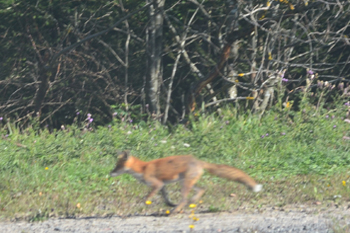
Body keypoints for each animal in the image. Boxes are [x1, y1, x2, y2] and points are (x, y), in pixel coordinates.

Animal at [110, 150, 262, 214]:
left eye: (118, 166)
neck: (142, 168)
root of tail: (199, 161)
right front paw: (171, 204)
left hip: (184, 184)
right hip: (189, 182)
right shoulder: (162, 185)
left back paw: (177, 210)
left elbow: (146, 198)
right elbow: (166, 199)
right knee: (201, 190)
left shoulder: (156, 184)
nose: (110, 172)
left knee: (184, 198)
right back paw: (190, 202)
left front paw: (142, 205)